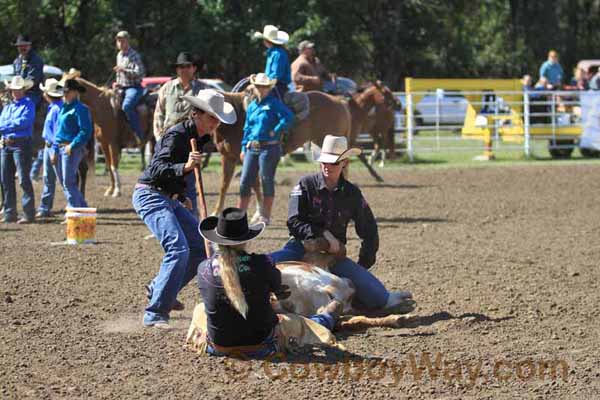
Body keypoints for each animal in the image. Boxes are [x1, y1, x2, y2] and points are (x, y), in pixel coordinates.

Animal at [211, 90, 352, 216]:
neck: (237, 117)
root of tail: (338, 101)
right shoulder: (227, 158)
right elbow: (224, 185)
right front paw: (216, 212)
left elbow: (255, 185)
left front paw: (259, 213)